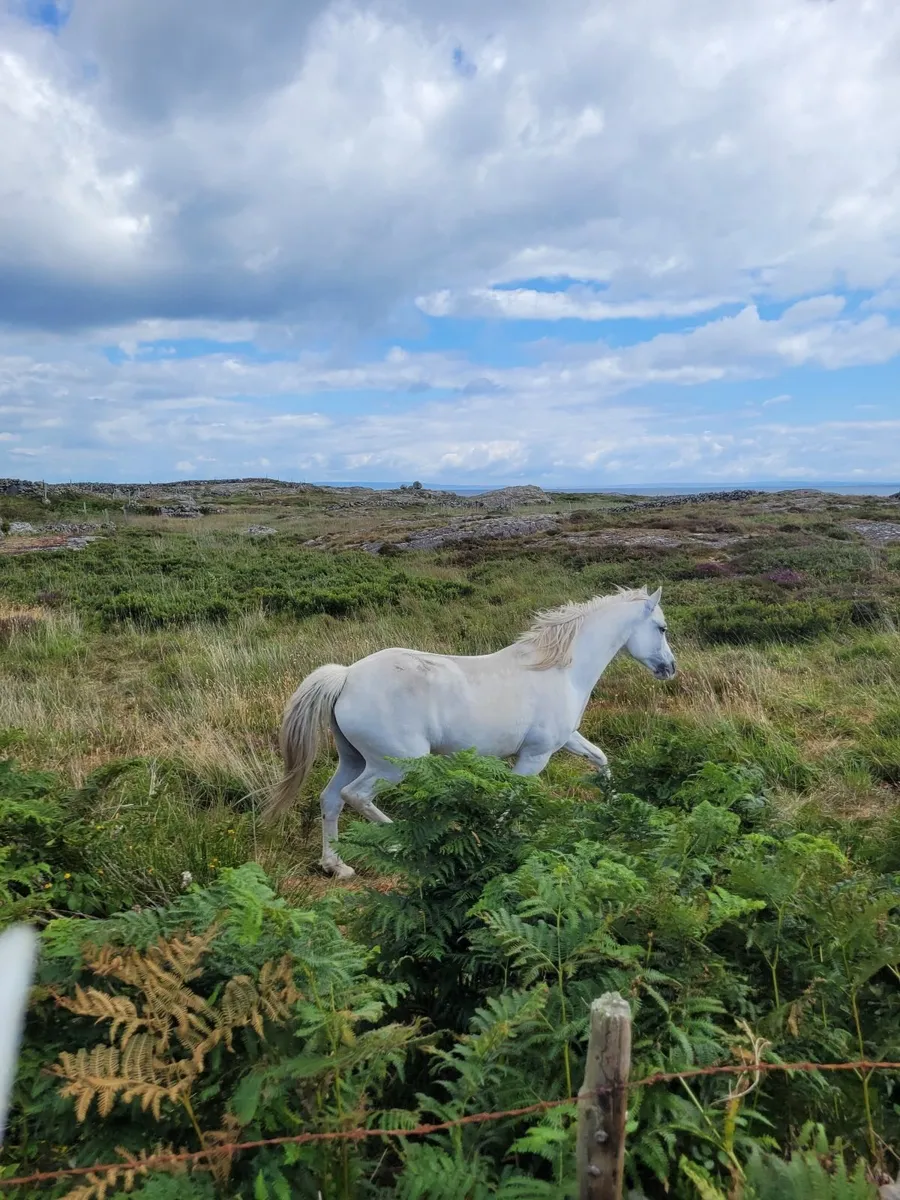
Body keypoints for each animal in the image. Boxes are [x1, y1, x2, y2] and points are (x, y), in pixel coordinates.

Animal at [265, 585, 676, 878]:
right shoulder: (536, 755)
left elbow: (601, 759)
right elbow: (511, 798)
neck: (560, 670)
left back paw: (337, 866)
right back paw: (398, 844)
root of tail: (346, 676)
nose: (670, 668)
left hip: (352, 758)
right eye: (661, 628)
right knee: (356, 796)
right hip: (393, 764)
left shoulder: (565, 741)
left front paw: (615, 809)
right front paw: (491, 842)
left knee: (330, 799)